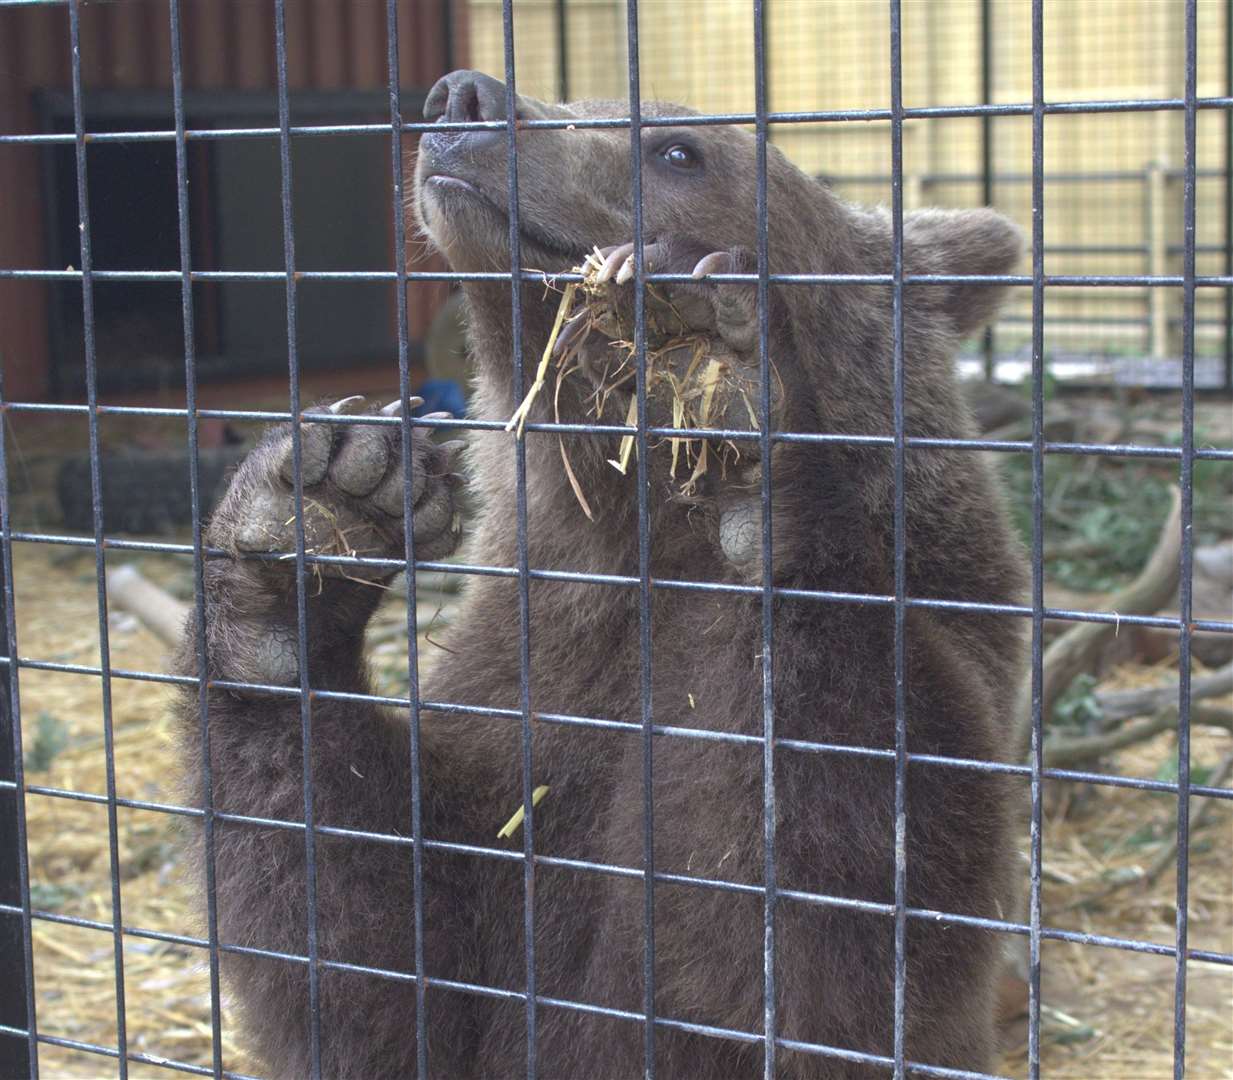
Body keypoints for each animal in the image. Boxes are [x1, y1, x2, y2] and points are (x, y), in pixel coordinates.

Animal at [178, 69, 1030, 1080]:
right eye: (578, 99)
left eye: (678, 149)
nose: (465, 98)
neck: (630, 535)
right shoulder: (523, 695)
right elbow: (375, 958)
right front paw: (309, 531)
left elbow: (824, 912)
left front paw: (730, 396)